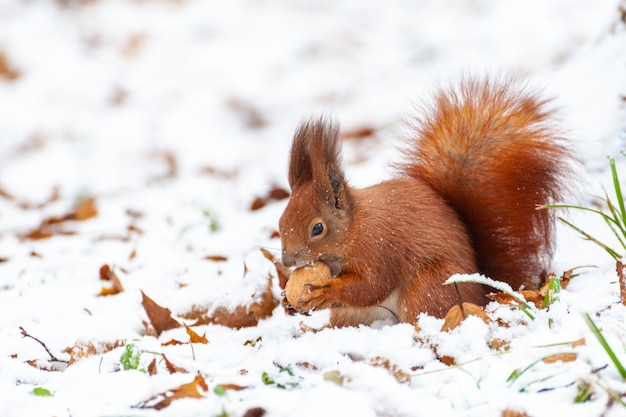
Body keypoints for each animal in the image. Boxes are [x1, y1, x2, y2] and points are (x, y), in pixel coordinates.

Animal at [276, 76, 572, 326]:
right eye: (280, 222)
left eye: (317, 228)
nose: (288, 261)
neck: (354, 229)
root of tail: (480, 293)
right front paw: (287, 302)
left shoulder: (378, 248)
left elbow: (371, 285)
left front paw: (325, 291)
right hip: (355, 314)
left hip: (428, 288)